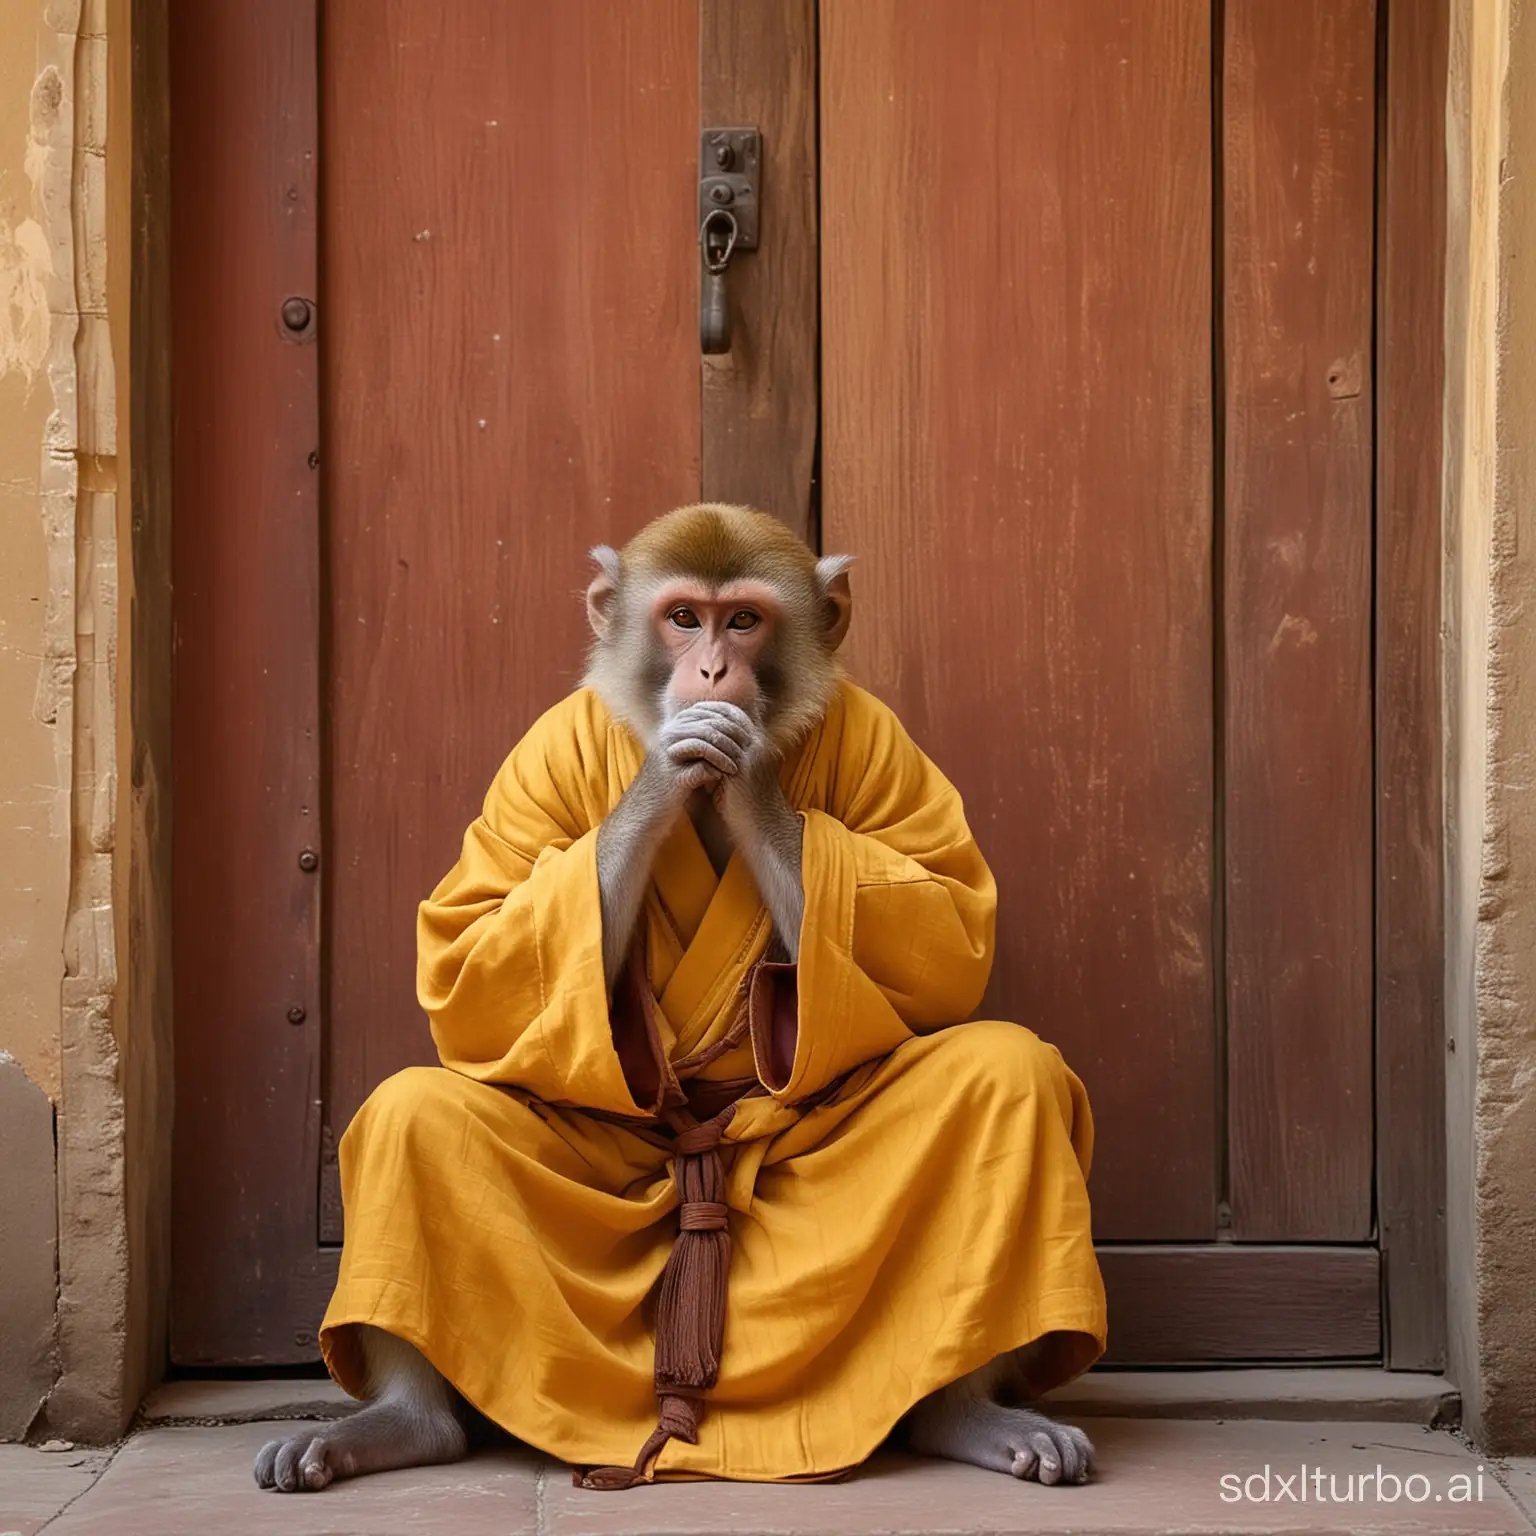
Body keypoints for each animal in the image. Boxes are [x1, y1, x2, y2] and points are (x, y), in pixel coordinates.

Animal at [254, 509, 1093, 1492]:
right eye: (685, 617)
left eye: (745, 622)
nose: (714, 674)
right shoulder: (540, 754)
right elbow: (474, 956)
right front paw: (665, 770)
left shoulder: (884, 744)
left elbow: (943, 930)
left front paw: (751, 774)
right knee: (413, 1115)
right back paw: (399, 1425)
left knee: (1005, 1074)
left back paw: (971, 1415)